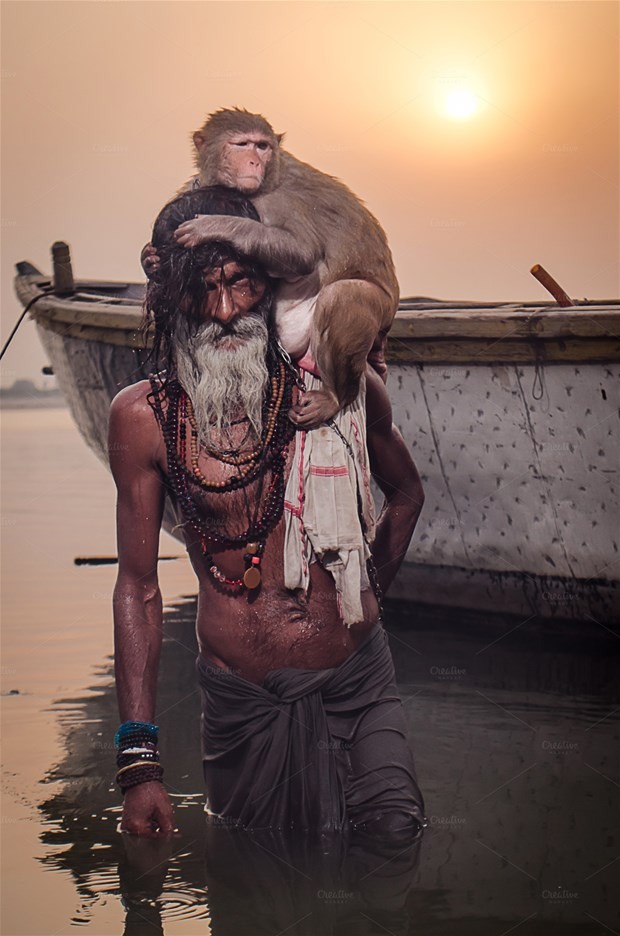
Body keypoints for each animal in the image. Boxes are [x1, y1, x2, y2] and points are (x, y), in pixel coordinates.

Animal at [146, 108, 400, 430]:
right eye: (242, 145)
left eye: (262, 146)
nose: (254, 162)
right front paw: (149, 259)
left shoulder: (274, 200)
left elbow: (301, 253)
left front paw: (215, 225)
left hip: (380, 311)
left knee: (343, 295)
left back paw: (336, 397)